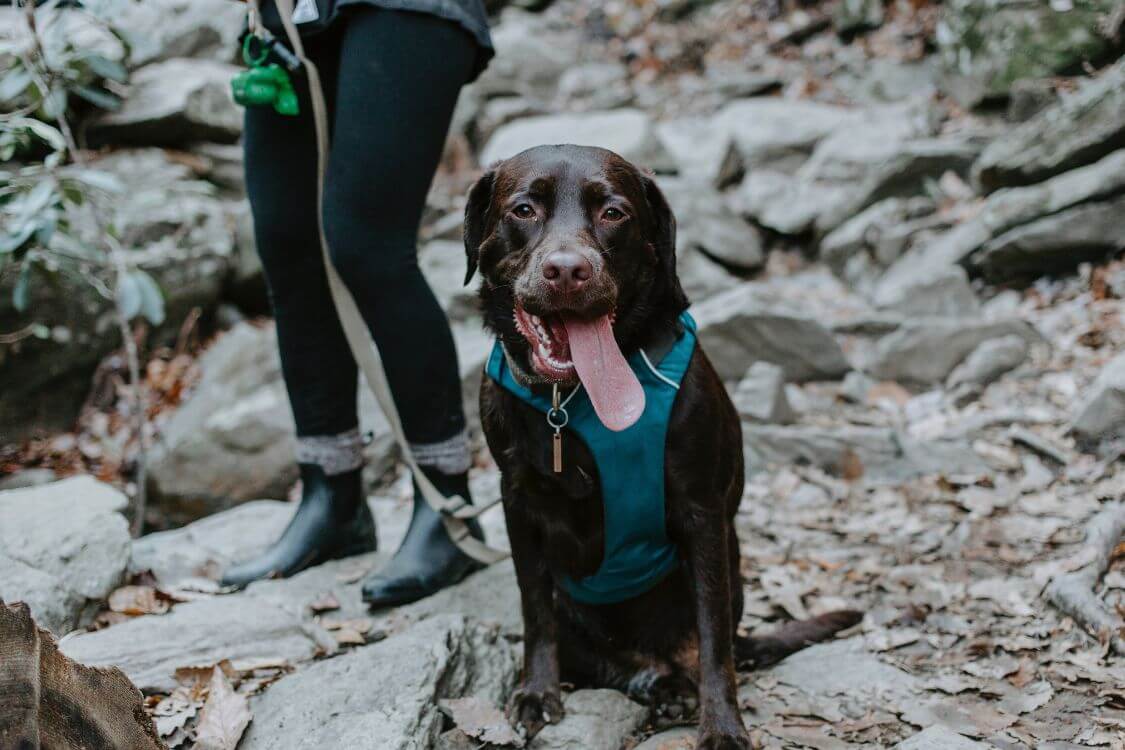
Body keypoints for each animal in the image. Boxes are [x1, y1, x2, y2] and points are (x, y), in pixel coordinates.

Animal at [461, 146, 855, 750]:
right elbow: (534, 609)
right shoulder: (518, 504)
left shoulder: (702, 513)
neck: (574, 399)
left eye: (614, 213)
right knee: (603, 657)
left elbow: (713, 639)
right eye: (523, 209)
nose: (568, 270)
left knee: (709, 644)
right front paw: (537, 691)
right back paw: (656, 683)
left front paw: (722, 726)